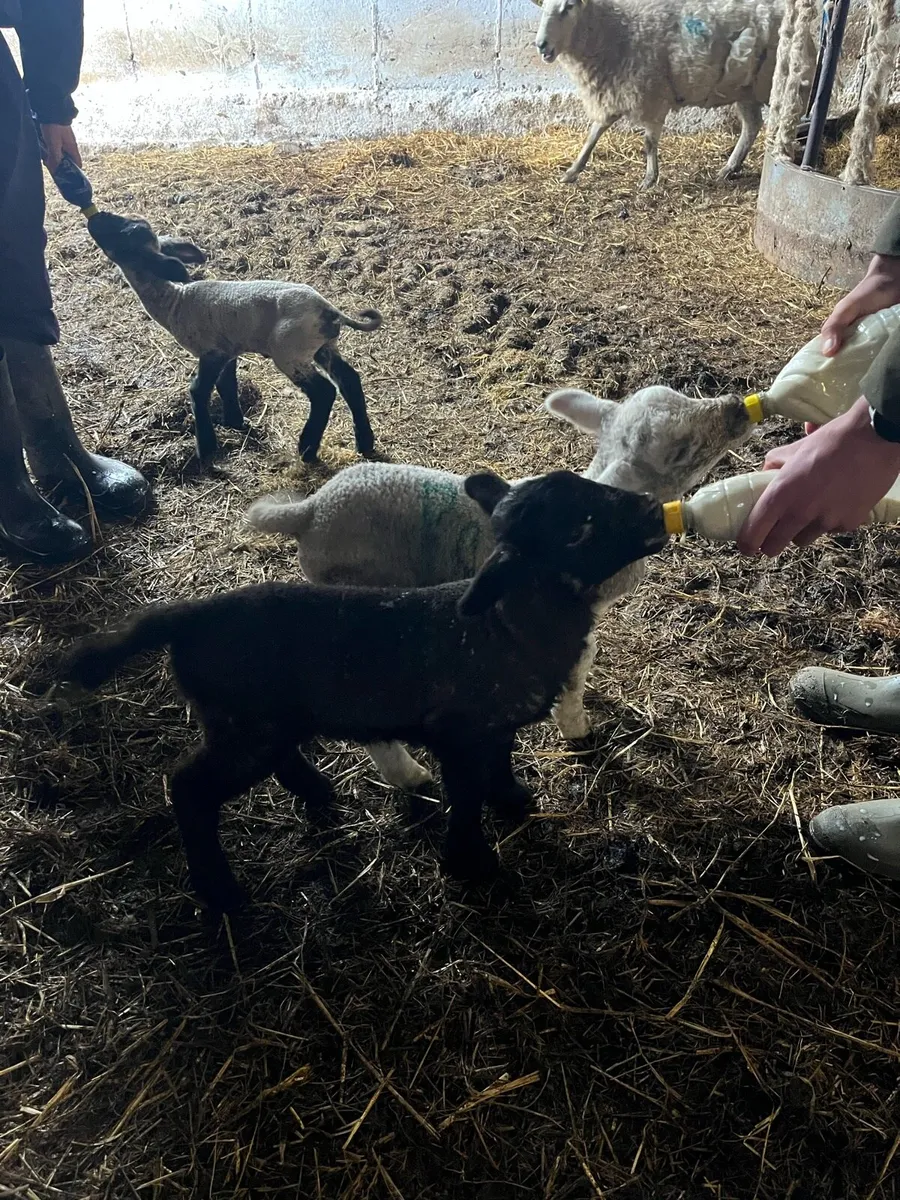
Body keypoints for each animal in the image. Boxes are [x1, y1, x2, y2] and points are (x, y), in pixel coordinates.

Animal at [58, 470, 667, 912]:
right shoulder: (458, 731)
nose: (652, 509)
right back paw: (222, 894)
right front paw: (471, 865)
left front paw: (513, 801)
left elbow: (498, 767)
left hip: (259, 720)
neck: (506, 625)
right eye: (580, 526)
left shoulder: (491, 726)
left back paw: (318, 793)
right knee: (189, 788)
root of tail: (186, 618)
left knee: (277, 758)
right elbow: (465, 796)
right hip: (244, 726)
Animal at [87, 210, 382, 465]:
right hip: (322, 347)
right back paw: (364, 442)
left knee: (323, 392)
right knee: (349, 380)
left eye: (126, 234)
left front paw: (206, 448)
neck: (174, 301)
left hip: (290, 351)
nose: (97, 216)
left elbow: (199, 390)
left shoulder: (212, 352)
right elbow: (227, 385)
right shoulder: (228, 350)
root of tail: (330, 310)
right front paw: (235, 422)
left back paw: (307, 449)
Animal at [247, 385, 753, 789]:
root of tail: (309, 510)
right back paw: (410, 777)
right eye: (681, 449)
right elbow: (573, 683)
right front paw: (578, 730)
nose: (736, 407)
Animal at [531, 0, 790, 189]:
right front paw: (572, 171)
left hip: (767, 82)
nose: (541, 45)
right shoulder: (615, 92)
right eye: (544, 7)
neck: (618, 29)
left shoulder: (651, 95)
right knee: (752, 126)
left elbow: (648, 142)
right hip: (744, 87)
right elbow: (593, 134)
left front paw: (649, 179)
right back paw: (729, 169)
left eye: (568, 7)